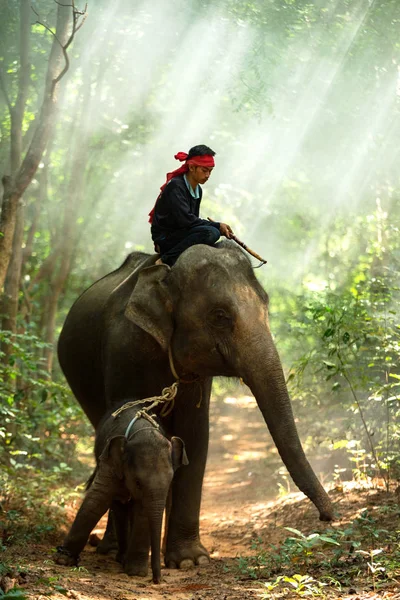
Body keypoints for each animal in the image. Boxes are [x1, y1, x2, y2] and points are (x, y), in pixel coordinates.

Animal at [54, 406, 189, 584]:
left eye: (170, 481)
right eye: (138, 482)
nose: (157, 580)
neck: (143, 432)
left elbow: (142, 513)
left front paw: (136, 573)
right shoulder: (110, 464)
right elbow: (97, 500)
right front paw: (63, 560)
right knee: (118, 508)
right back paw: (121, 557)